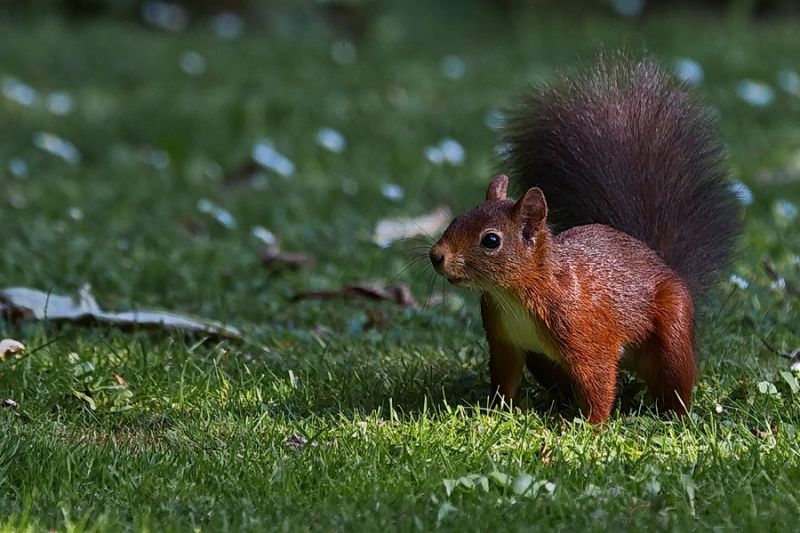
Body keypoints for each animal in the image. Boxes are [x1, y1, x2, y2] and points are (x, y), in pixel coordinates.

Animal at [429, 55, 742, 423]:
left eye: (490, 240)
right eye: (455, 219)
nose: (436, 256)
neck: (514, 294)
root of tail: (666, 265)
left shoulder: (585, 331)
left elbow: (598, 380)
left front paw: (588, 426)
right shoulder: (504, 340)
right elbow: (505, 377)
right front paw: (494, 412)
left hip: (673, 330)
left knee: (674, 379)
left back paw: (671, 415)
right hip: (543, 361)